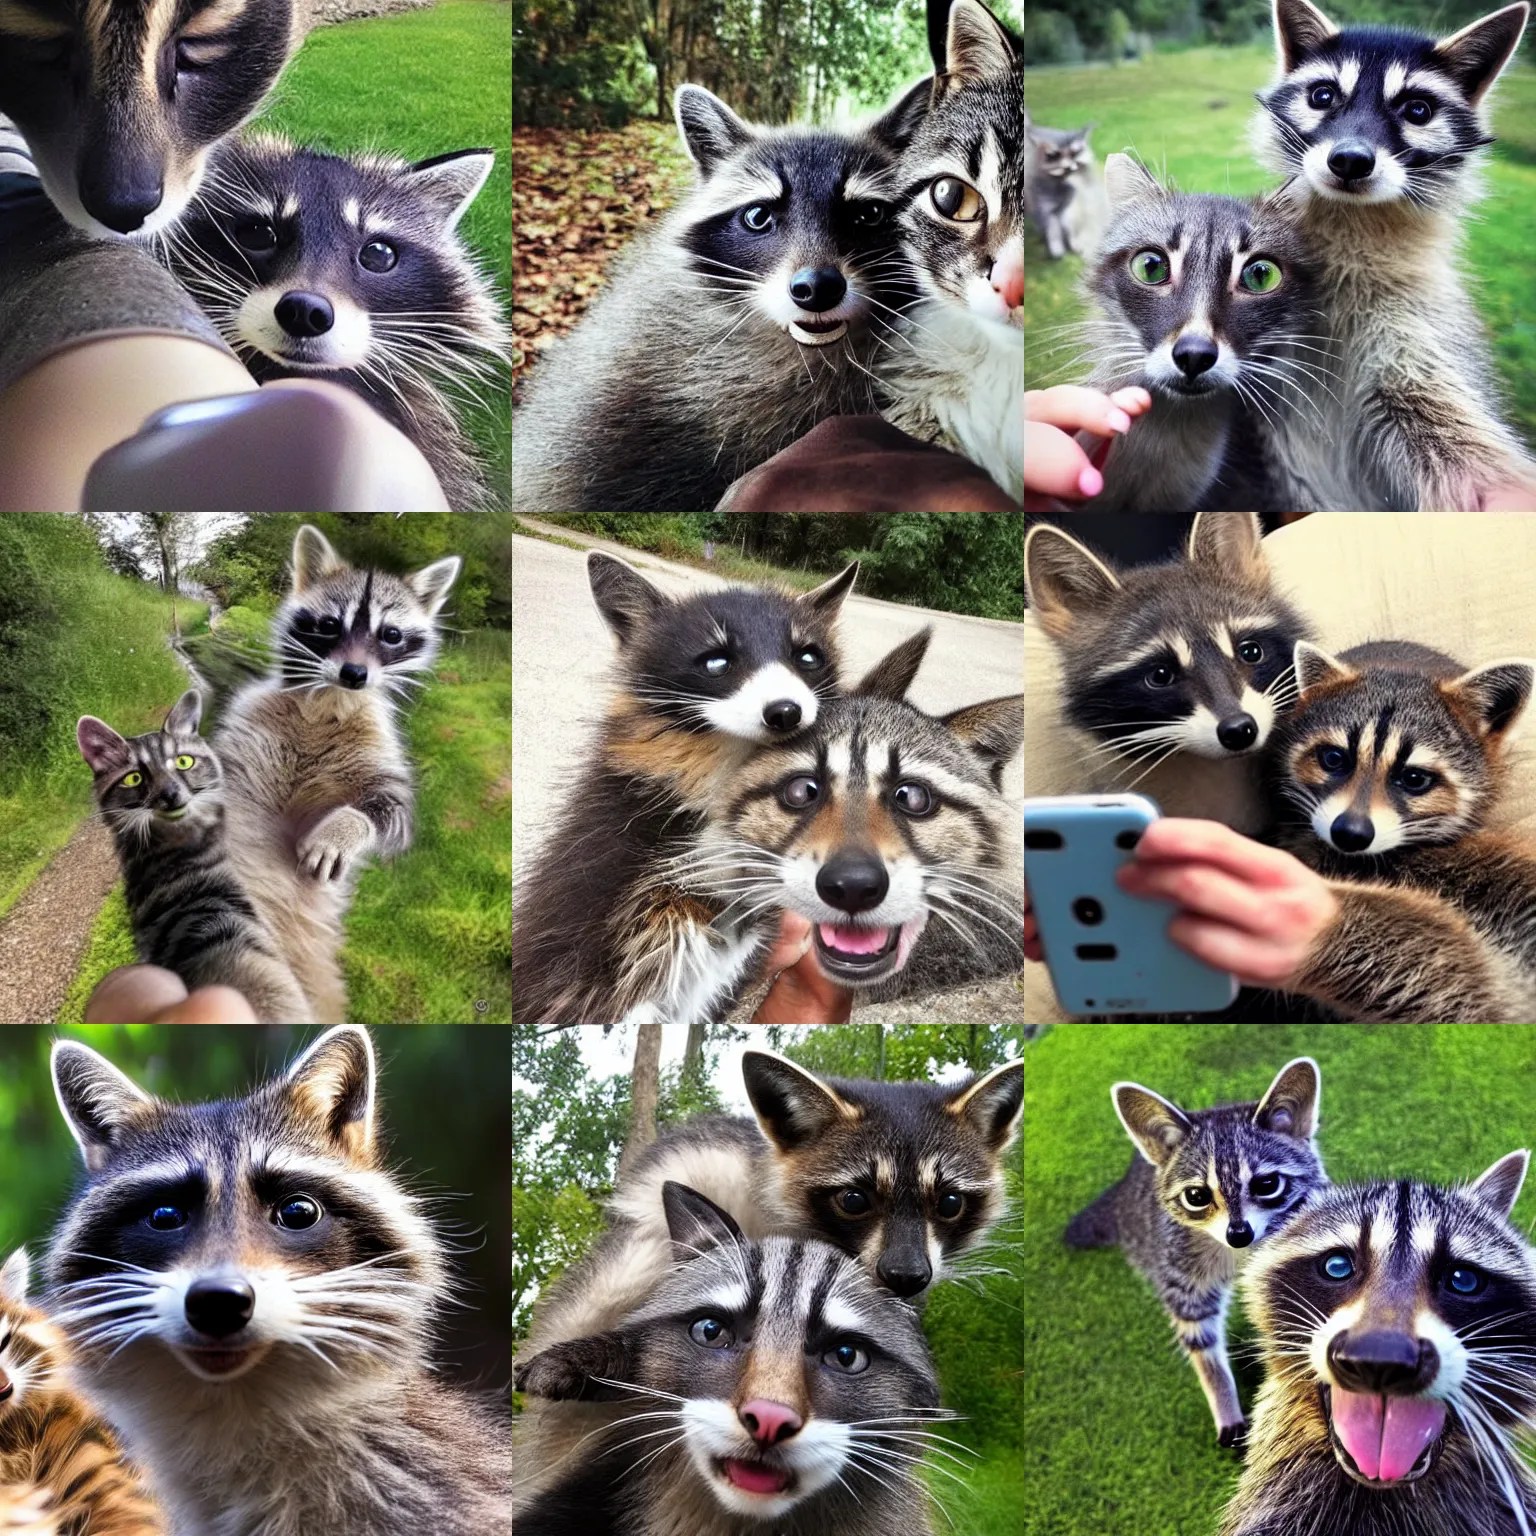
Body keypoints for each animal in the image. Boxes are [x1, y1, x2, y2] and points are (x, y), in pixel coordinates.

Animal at [215, 524, 460, 1024]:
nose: (354, 674)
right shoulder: (250, 724)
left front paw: (346, 827)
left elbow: (391, 812)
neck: (330, 701)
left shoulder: (377, 746)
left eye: (391, 634)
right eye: (330, 625)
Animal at [1066, 1060, 1325, 1446]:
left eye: (1267, 1185)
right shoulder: (1177, 1261)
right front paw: (1222, 1393)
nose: (1239, 1234)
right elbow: (1198, 1331)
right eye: (1197, 1196)